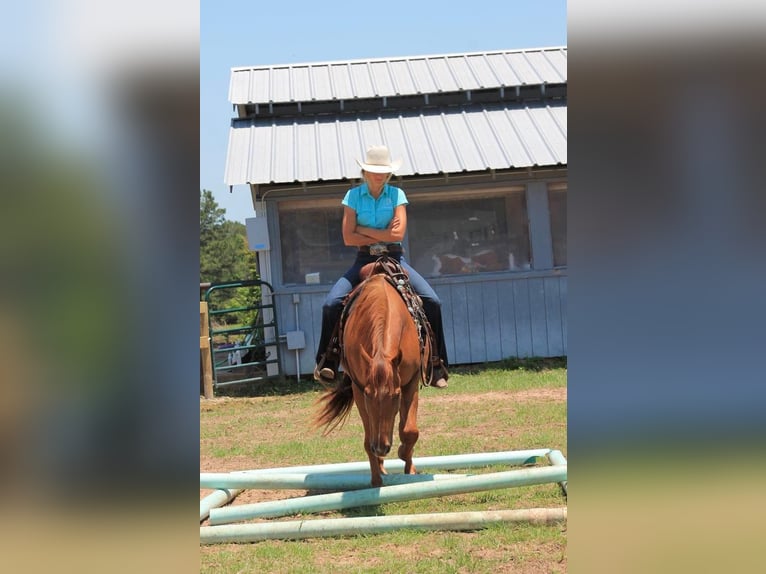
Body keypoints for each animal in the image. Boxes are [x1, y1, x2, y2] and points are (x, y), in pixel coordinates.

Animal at [314, 264, 432, 488]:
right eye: (369, 396)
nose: (382, 447)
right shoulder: (359, 390)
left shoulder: (410, 383)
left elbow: (409, 430)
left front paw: (407, 463)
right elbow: (368, 439)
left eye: (395, 396)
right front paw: (376, 479)